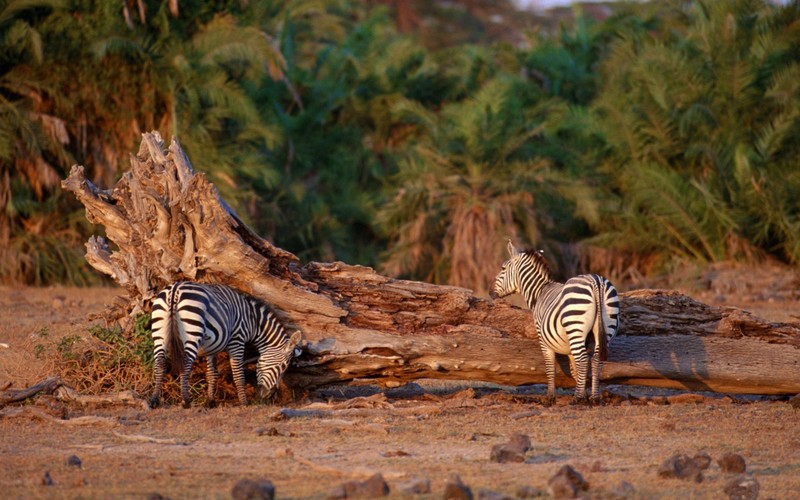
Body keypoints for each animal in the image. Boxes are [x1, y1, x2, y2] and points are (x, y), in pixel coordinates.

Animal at [148, 280, 302, 408]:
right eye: (283, 366)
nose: (269, 396)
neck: (253, 321)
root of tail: (175, 289)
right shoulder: (237, 341)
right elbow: (238, 374)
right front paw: (244, 402)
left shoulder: (211, 347)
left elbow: (212, 374)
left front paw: (210, 401)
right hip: (192, 330)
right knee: (185, 363)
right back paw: (186, 400)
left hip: (160, 331)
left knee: (160, 363)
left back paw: (154, 400)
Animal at [490, 242, 620, 406]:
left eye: (503, 268)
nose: (491, 293)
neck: (539, 292)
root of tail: (596, 281)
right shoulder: (571, 345)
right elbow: (574, 369)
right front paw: (584, 394)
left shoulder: (543, 339)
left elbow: (550, 367)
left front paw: (551, 398)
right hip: (605, 327)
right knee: (596, 359)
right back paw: (595, 398)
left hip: (575, 325)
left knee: (584, 359)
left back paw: (577, 399)